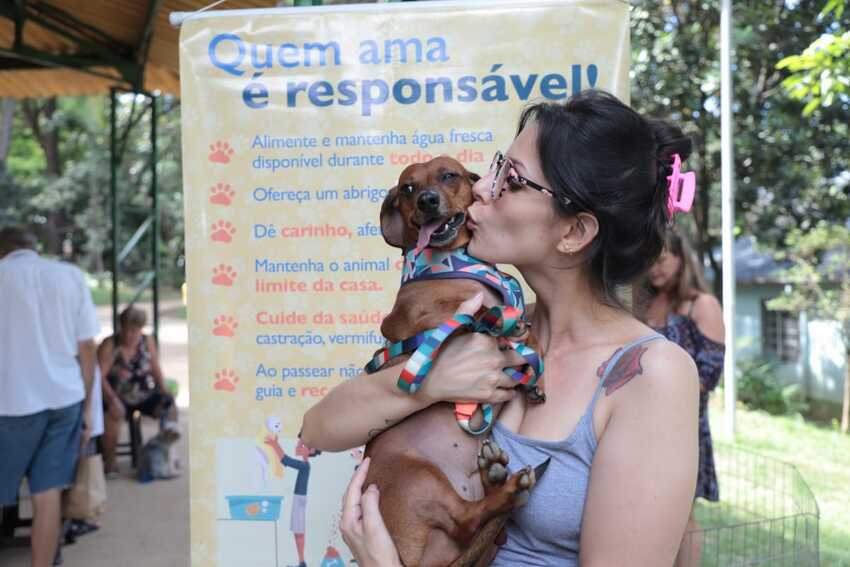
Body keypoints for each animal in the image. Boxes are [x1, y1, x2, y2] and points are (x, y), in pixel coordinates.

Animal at [362, 155, 544, 567]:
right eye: (408, 187)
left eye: (449, 175)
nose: (427, 200)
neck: (455, 263)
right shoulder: (406, 320)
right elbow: (475, 314)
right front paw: (502, 324)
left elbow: (525, 333)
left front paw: (532, 372)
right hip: (419, 475)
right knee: (465, 520)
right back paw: (507, 488)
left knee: (470, 530)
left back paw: (494, 476)